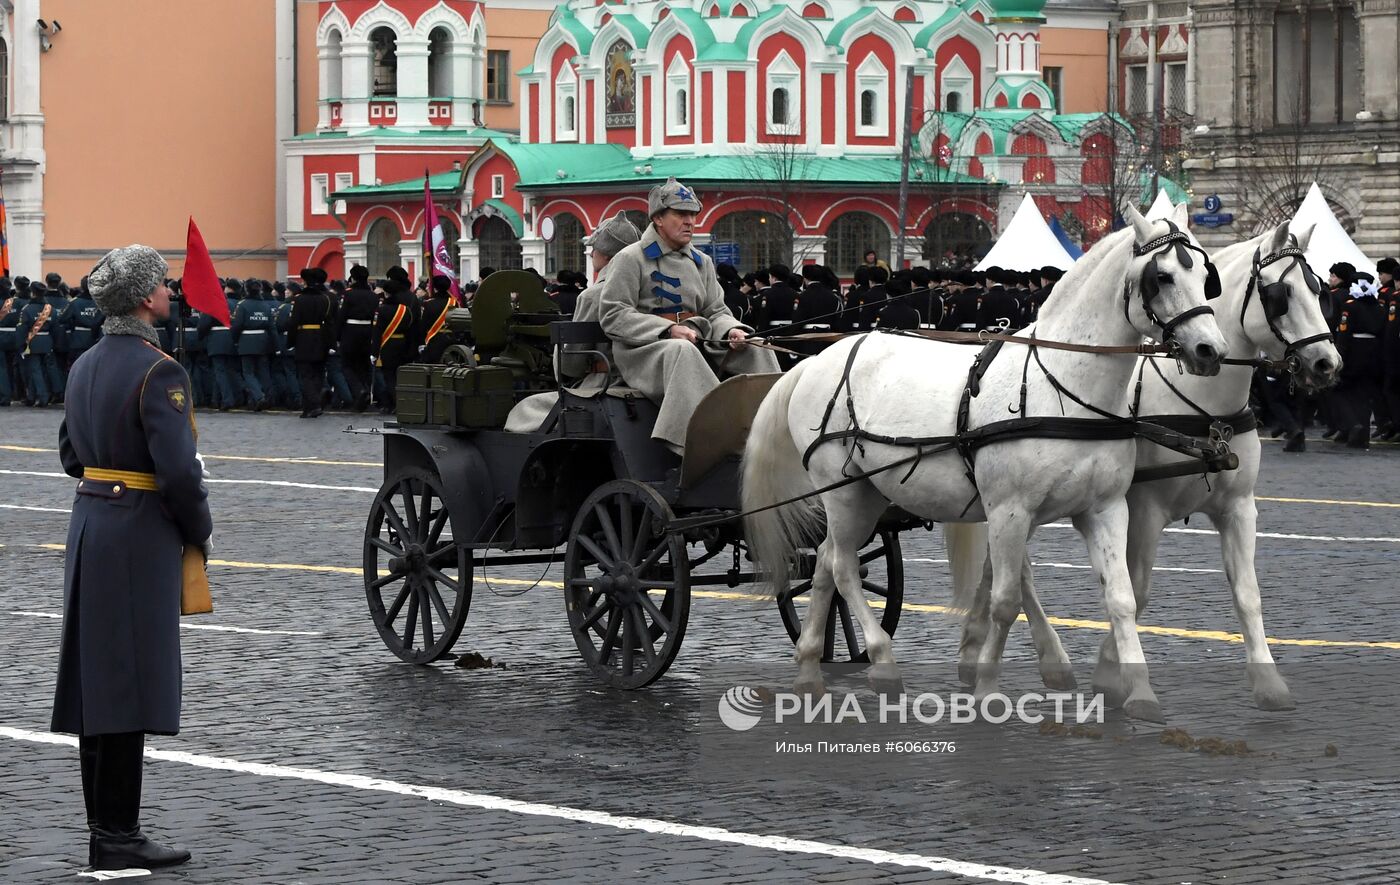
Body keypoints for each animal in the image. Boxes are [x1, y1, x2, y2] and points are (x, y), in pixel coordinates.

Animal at [744, 204, 1226, 722]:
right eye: (1163, 276)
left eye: (1205, 275)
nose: (1210, 351)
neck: (1063, 389)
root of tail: (812, 362)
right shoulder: (1010, 510)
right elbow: (1005, 600)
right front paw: (987, 688)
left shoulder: (1104, 508)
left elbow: (1119, 598)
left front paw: (1139, 691)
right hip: (844, 490)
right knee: (842, 566)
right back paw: (881, 661)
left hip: (868, 494)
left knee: (824, 564)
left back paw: (810, 669)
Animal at [957, 219, 1338, 711]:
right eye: (1281, 293)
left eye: (1317, 288)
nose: (1328, 362)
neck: (1203, 409)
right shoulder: (1144, 510)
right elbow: (1135, 591)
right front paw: (1114, 674)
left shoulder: (1239, 507)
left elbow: (1247, 594)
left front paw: (1269, 684)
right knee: (1015, 570)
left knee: (1007, 568)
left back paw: (983, 653)